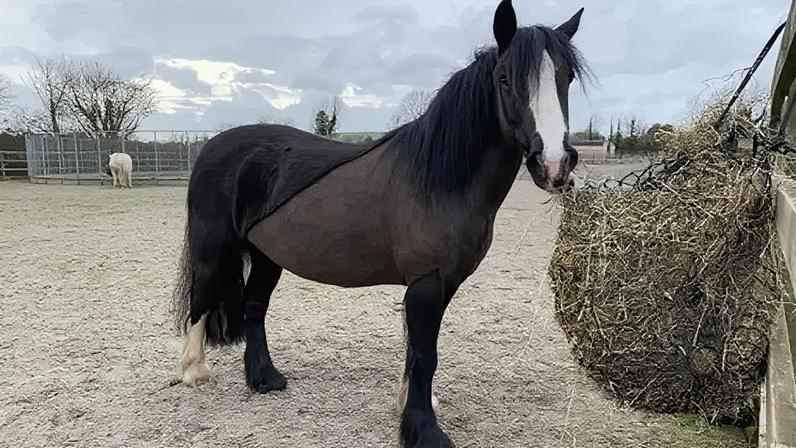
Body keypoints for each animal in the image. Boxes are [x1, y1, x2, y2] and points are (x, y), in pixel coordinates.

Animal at [172, 1, 588, 446]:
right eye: (506, 79)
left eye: (566, 77)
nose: (554, 165)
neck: (438, 178)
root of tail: (214, 145)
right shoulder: (426, 282)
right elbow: (424, 353)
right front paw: (423, 429)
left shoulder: (446, 283)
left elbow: (415, 349)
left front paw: (408, 405)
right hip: (215, 249)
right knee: (200, 301)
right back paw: (195, 372)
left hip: (269, 256)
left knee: (254, 308)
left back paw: (265, 378)